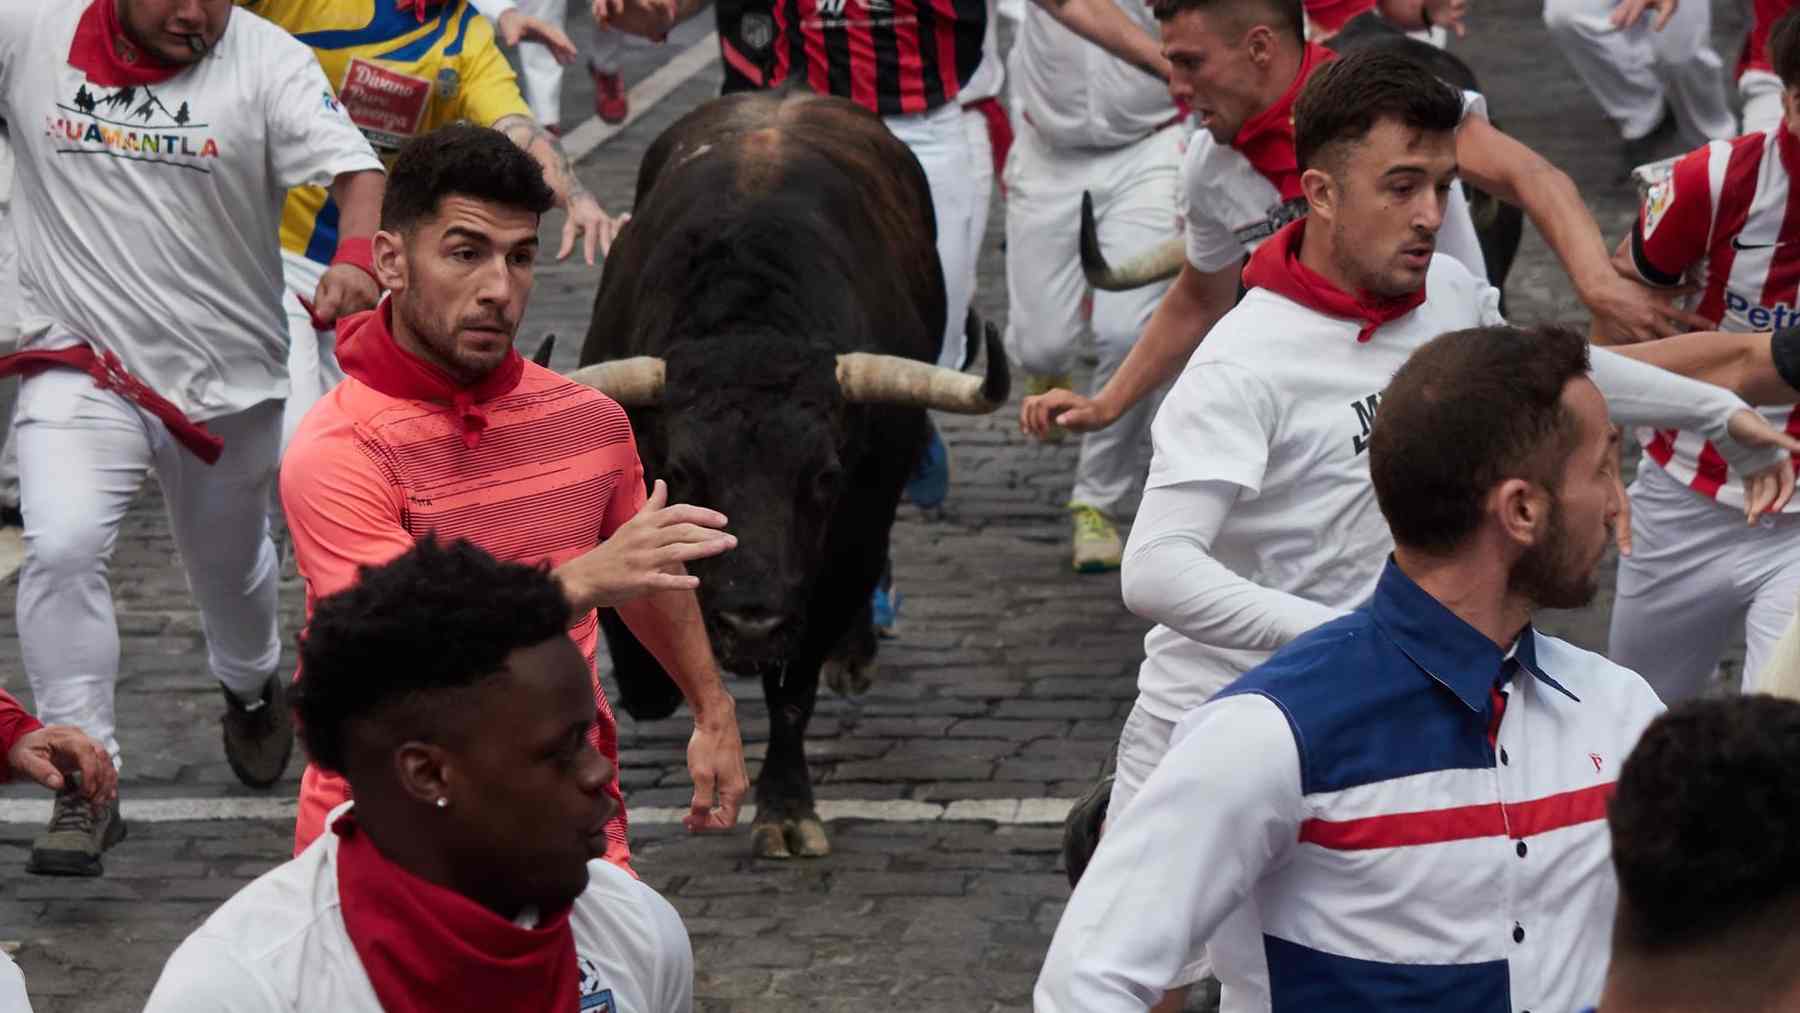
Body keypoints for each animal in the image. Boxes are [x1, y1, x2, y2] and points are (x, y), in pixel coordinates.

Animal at [576, 91, 1008, 860]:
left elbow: (794, 688)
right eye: (682, 469)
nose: (752, 619)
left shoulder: (843, 549)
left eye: (825, 476)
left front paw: (784, 809)